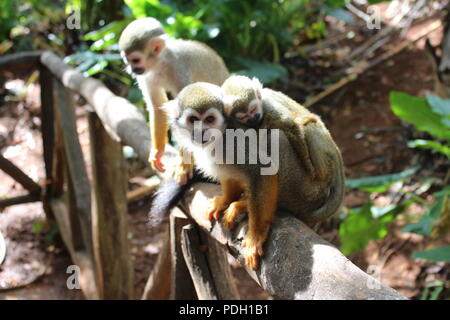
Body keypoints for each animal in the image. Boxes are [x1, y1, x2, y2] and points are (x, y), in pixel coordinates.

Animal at [118, 17, 229, 182]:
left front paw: (184, 165)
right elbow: (158, 106)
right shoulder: (146, 74)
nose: (132, 69)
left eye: (135, 60)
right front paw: (157, 152)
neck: (160, 63)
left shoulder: (178, 68)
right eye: (127, 60)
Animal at [165, 80, 344, 270]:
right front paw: (225, 200)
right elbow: (229, 175)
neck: (220, 135)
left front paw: (255, 237)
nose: (202, 132)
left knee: (276, 138)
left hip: (304, 190)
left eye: (209, 119)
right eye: (193, 120)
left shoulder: (233, 140)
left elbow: (262, 169)